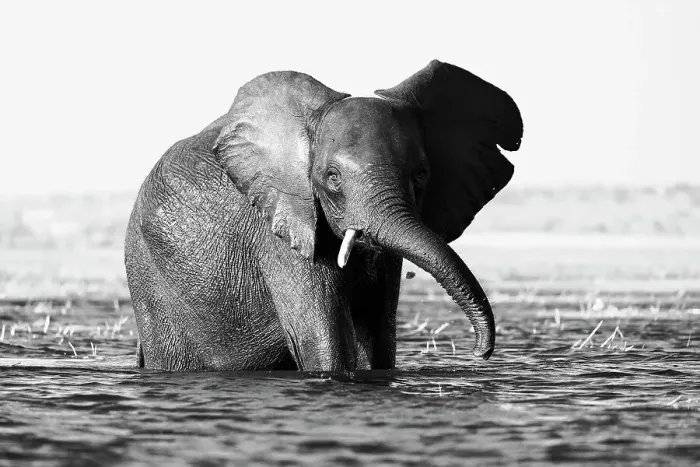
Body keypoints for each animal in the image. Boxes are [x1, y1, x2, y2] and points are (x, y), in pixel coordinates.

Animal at [124, 59, 523, 372]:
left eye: (422, 174)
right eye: (332, 177)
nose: (479, 353)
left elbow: (380, 338)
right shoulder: (280, 231)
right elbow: (324, 341)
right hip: (150, 281)